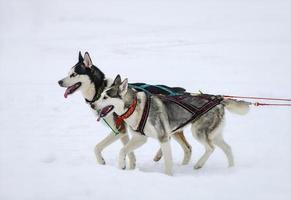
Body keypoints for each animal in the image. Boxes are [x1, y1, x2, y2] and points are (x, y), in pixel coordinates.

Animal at [58, 52, 193, 169]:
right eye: (68, 73)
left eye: (74, 74)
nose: (59, 81)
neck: (100, 89)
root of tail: (177, 90)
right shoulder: (124, 132)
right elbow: (128, 151)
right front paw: (130, 166)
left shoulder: (120, 129)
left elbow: (98, 147)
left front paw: (105, 162)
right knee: (183, 145)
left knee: (186, 147)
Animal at [97, 75, 251, 175]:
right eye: (100, 95)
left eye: (106, 97)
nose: (93, 104)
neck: (134, 107)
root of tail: (219, 100)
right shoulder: (139, 138)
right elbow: (123, 150)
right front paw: (122, 165)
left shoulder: (163, 138)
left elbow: (168, 162)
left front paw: (168, 176)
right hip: (214, 135)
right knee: (227, 148)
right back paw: (231, 169)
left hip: (198, 132)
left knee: (210, 148)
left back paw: (199, 164)